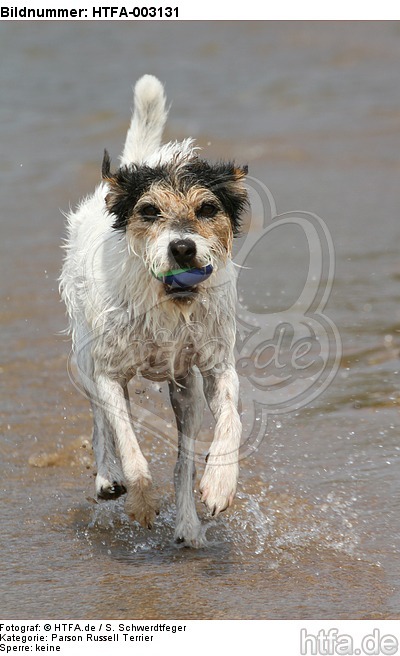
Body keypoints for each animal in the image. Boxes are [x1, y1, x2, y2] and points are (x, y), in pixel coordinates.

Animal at [60, 74, 247, 544]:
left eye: (207, 208)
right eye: (148, 210)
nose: (182, 248)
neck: (169, 306)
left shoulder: (215, 366)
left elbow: (231, 422)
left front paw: (220, 483)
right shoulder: (109, 373)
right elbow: (130, 449)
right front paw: (141, 502)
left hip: (185, 392)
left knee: (182, 461)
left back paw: (187, 525)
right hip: (86, 356)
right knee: (101, 424)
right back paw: (107, 477)